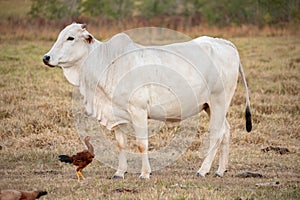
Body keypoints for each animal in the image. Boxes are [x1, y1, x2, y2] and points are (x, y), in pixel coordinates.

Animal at [43, 22, 252, 179]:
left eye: (70, 38)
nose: (46, 57)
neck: (107, 63)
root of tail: (224, 43)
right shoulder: (116, 114)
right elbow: (120, 143)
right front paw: (120, 172)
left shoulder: (139, 111)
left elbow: (141, 144)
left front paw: (145, 173)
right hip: (210, 106)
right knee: (226, 130)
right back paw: (220, 170)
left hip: (219, 101)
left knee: (216, 134)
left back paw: (203, 170)